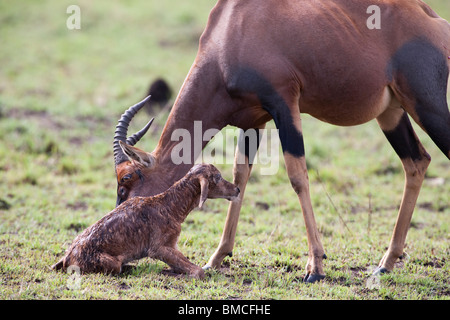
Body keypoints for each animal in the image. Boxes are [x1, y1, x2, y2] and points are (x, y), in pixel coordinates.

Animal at [51, 164, 241, 278]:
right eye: (217, 177)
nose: (237, 189)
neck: (170, 206)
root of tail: (66, 258)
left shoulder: (172, 245)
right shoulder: (158, 248)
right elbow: (198, 270)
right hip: (111, 262)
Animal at [110, 1, 448, 284]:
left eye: (126, 180)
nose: (117, 228)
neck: (233, 26)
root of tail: (432, 18)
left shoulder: (284, 104)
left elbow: (297, 177)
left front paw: (315, 267)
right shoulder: (253, 122)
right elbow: (239, 179)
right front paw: (216, 258)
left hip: (427, 105)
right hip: (391, 112)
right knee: (417, 161)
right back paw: (385, 263)